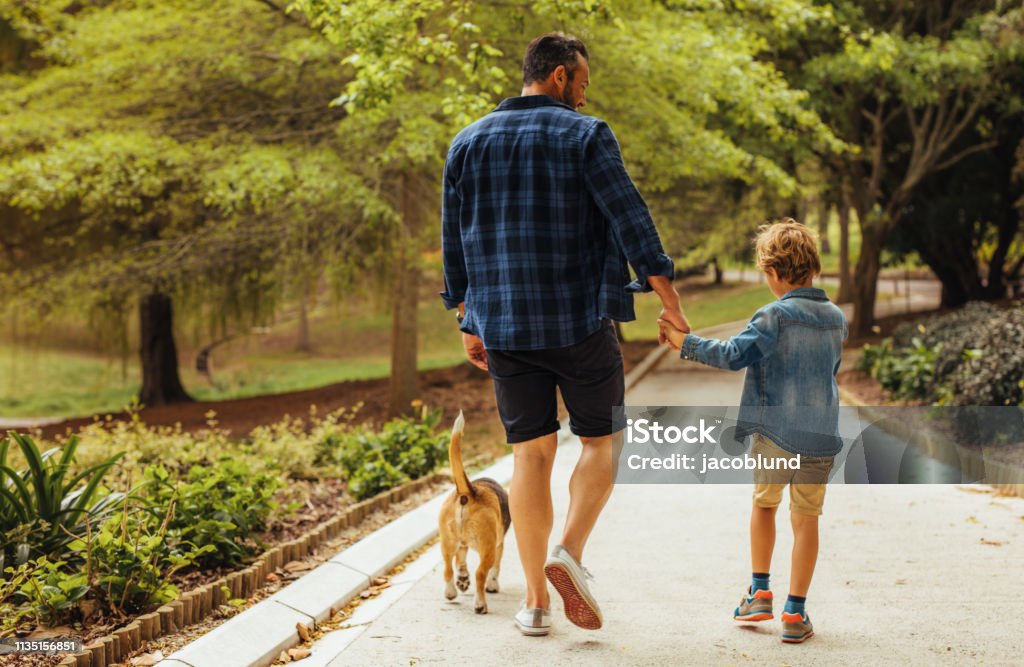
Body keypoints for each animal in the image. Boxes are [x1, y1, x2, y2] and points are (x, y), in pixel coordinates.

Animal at [438, 411, 509, 614]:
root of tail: (468, 492)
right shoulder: (499, 545)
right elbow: (495, 570)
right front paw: (493, 585)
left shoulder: (462, 546)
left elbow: (460, 563)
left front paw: (462, 579)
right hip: (488, 549)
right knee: (480, 574)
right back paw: (480, 604)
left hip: (447, 542)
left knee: (448, 568)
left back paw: (451, 592)